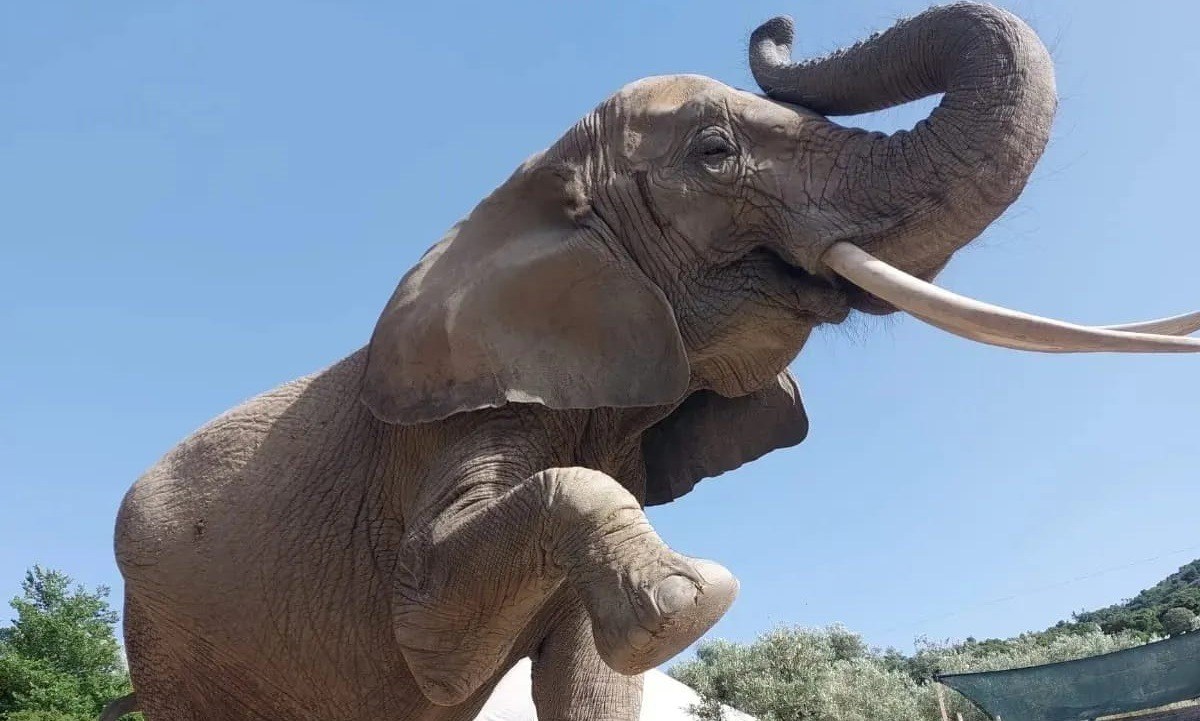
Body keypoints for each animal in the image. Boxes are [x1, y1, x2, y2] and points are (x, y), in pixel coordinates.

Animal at [110, 3, 1200, 721]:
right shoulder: (461, 421)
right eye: (715, 153)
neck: (526, 197)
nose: (777, 25)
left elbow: (588, 678)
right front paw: (695, 598)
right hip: (166, 641)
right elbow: (433, 637)